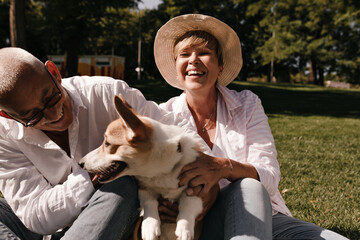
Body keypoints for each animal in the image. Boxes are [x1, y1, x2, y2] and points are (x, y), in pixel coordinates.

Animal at [81, 94, 202, 239]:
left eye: (107, 143)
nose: (81, 163)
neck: (161, 172)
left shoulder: (200, 189)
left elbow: (187, 202)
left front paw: (185, 229)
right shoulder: (143, 189)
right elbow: (149, 202)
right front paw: (150, 226)